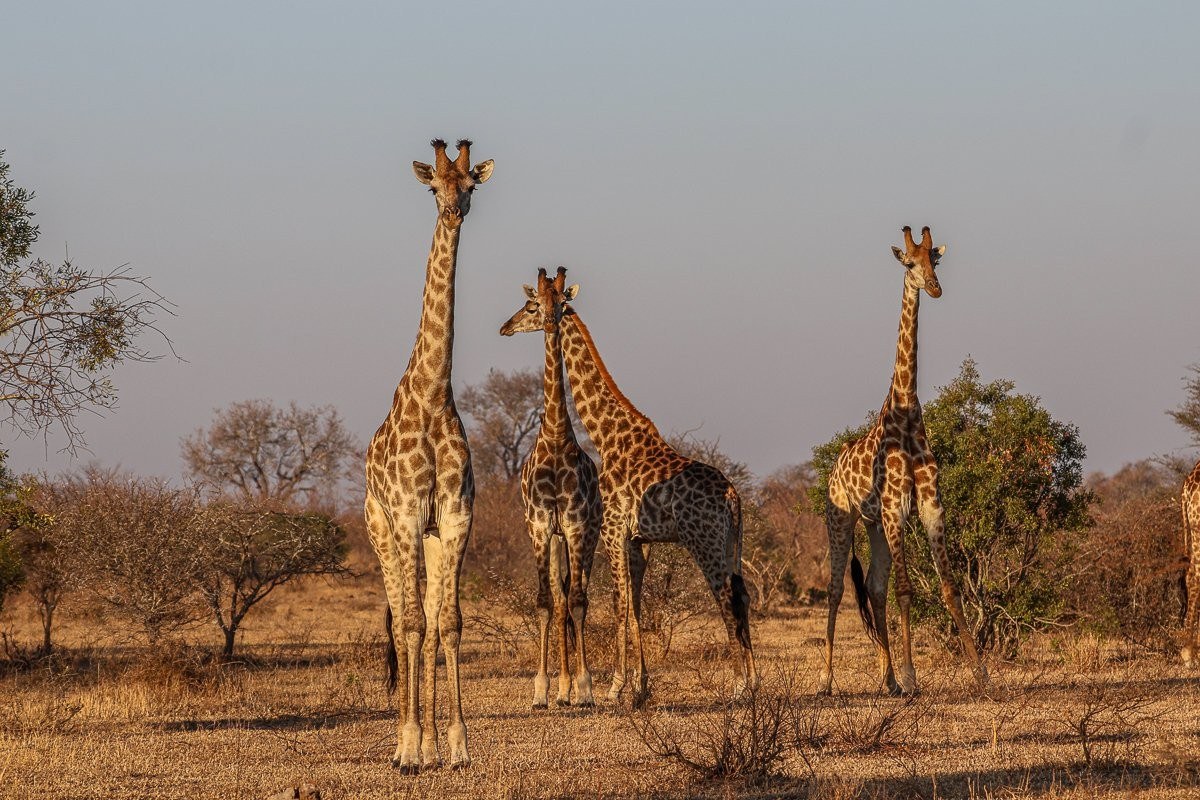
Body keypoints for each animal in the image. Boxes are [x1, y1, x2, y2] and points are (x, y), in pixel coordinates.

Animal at [550, 275, 757, 704]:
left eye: (530, 307)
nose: (508, 325)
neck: (607, 437)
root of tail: (734, 498)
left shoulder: (613, 530)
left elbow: (619, 603)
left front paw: (616, 687)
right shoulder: (638, 540)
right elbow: (634, 605)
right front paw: (638, 685)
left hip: (703, 541)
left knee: (726, 598)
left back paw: (738, 687)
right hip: (731, 542)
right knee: (743, 595)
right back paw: (755, 681)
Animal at [819, 226, 987, 697]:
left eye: (936, 260)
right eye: (910, 264)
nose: (934, 288)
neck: (907, 410)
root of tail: (833, 470)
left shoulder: (930, 503)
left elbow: (949, 588)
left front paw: (983, 674)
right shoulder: (897, 506)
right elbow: (908, 590)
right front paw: (914, 676)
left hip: (875, 527)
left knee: (874, 587)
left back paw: (888, 678)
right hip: (841, 519)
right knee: (836, 590)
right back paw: (827, 679)